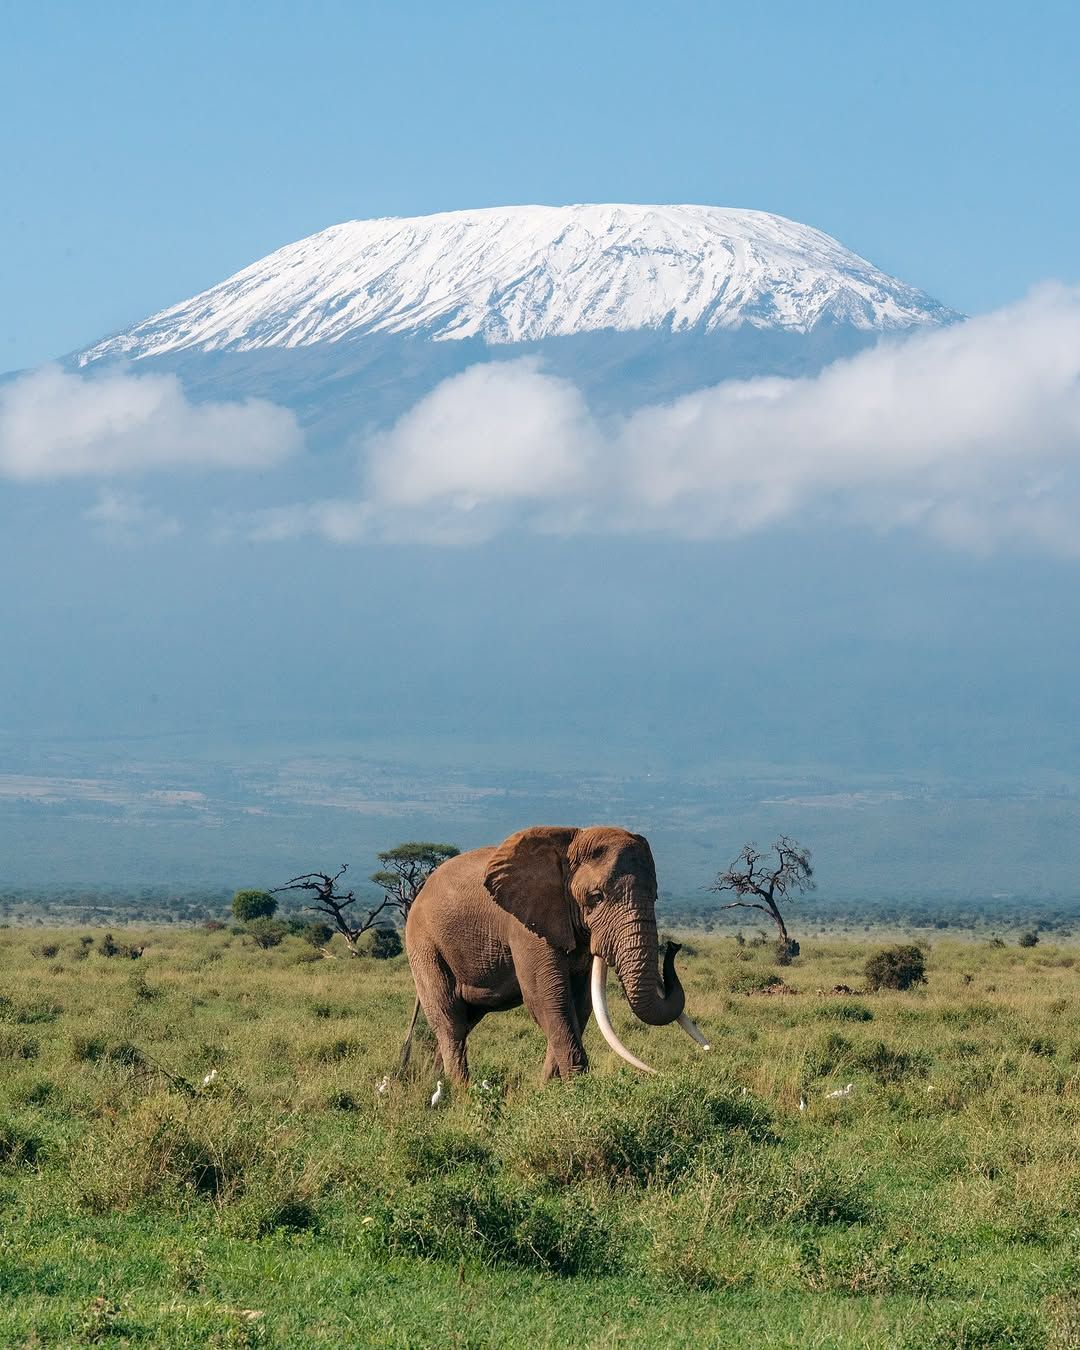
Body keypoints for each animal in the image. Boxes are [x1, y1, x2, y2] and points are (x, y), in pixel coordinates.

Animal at [403, 824, 709, 1083]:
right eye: (596, 897)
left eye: (655, 896)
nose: (674, 947)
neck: (570, 843)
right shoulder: (525, 925)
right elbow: (548, 998)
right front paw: (576, 1088)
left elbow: (580, 1003)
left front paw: (550, 1089)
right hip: (423, 942)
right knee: (449, 1019)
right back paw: (461, 1094)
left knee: (465, 1019)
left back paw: (437, 1087)